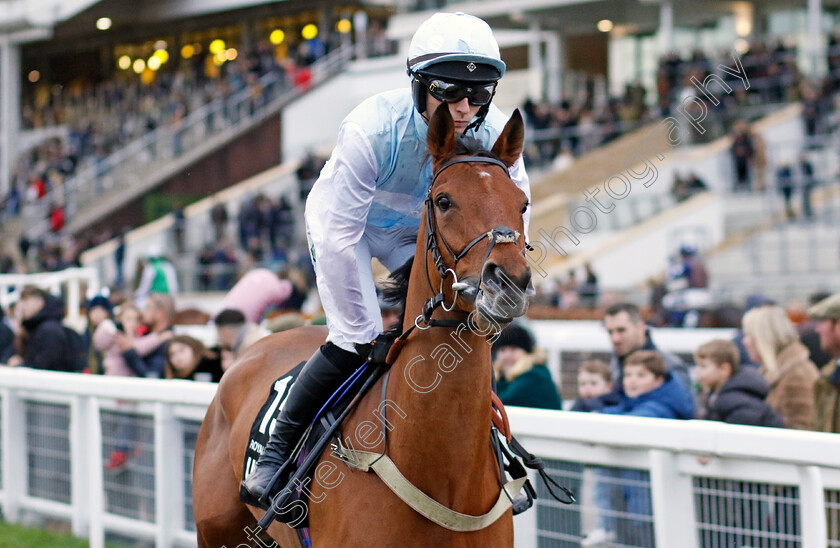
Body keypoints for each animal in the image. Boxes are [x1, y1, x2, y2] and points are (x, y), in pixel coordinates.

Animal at [195, 106, 532, 548]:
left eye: (522, 204)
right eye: (444, 201)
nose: (507, 283)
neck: (444, 477)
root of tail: (253, 348)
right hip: (215, 530)